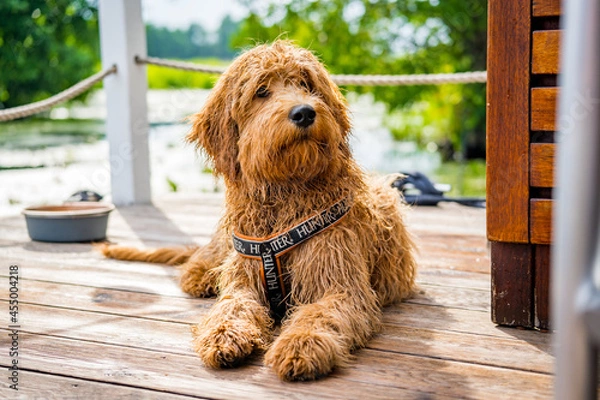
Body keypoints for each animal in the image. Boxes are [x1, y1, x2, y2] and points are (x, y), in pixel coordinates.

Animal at [101, 40, 414, 382]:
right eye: (261, 91)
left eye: (306, 84)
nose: (304, 112)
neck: (285, 195)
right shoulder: (245, 275)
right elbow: (232, 304)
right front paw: (223, 334)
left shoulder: (339, 283)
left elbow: (319, 314)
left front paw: (301, 344)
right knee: (200, 261)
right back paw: (202, 276)